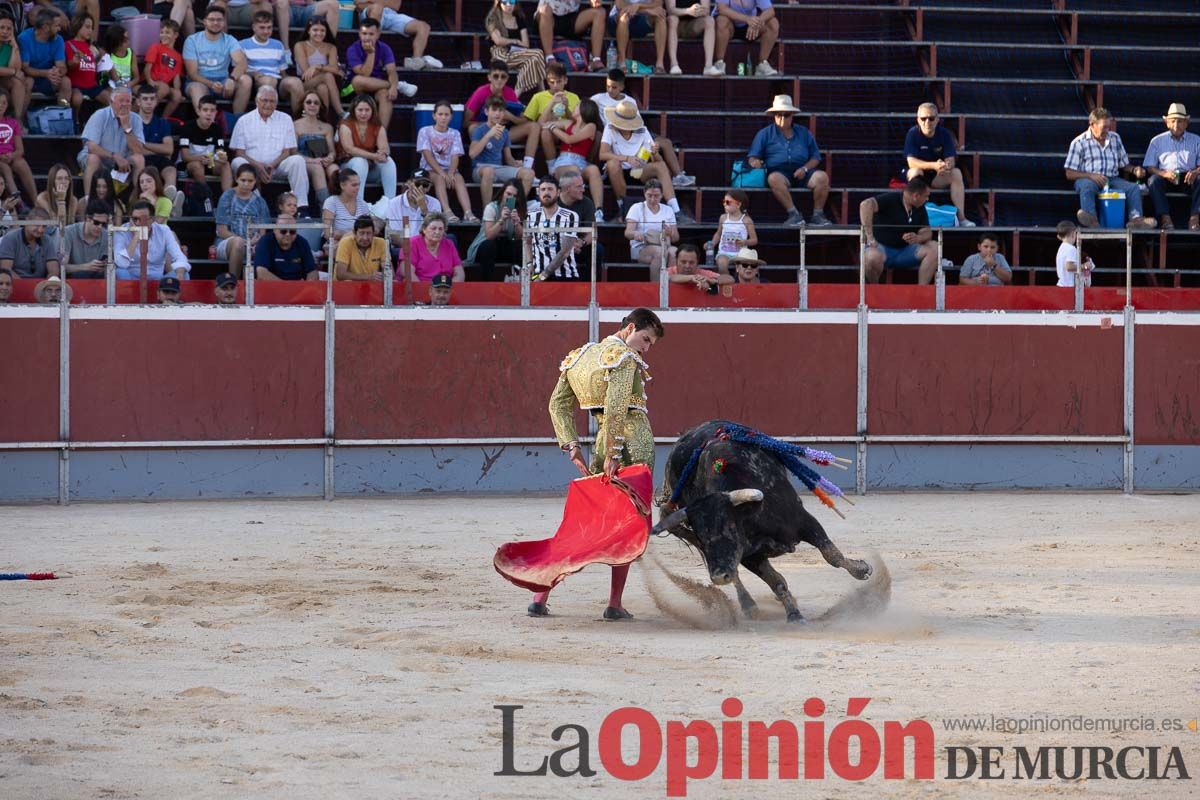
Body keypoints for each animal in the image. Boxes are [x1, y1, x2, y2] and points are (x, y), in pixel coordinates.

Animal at [657, 422, 873, 623]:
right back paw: (748, 605)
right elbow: (776, 582)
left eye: (730, 527)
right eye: (701, 537)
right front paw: (794, 615)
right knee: (736, 574)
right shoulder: (750, 556)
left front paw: (862, 569)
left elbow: (832, 555)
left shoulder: (804, 521)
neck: (754, 516)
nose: (718, 577)